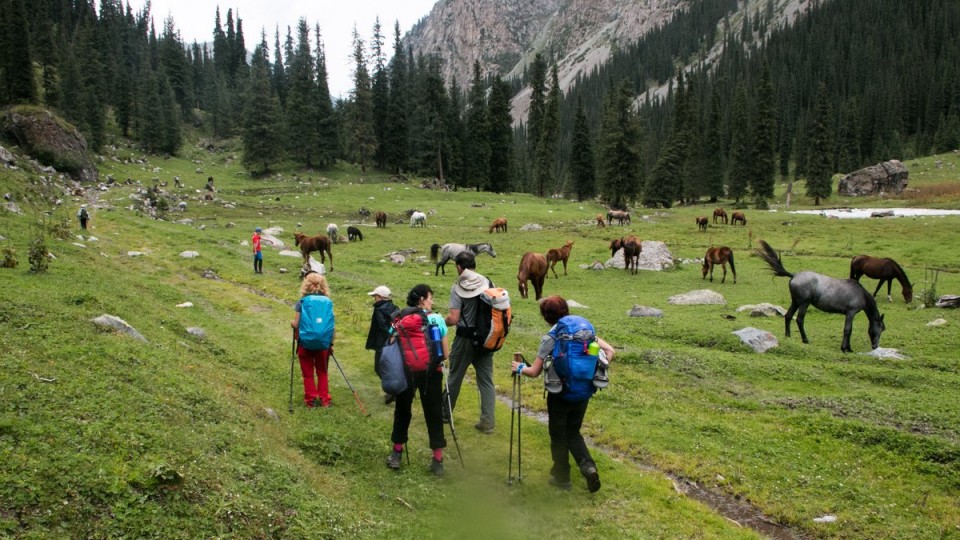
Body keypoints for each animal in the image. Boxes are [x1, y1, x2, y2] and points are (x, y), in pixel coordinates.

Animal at [756, 238, 884, 352]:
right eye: (881, 328)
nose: (875, 346)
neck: (861, 293)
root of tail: (794, 275)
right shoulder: (851, 313)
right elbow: (847, 330)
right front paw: (844, 348)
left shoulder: (850, 314)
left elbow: (850, 330)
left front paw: (849, 348)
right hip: (804, 303)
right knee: (799, 320)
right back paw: (805, 340)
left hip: (795, 302)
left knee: (788, 316)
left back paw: (788, 336)